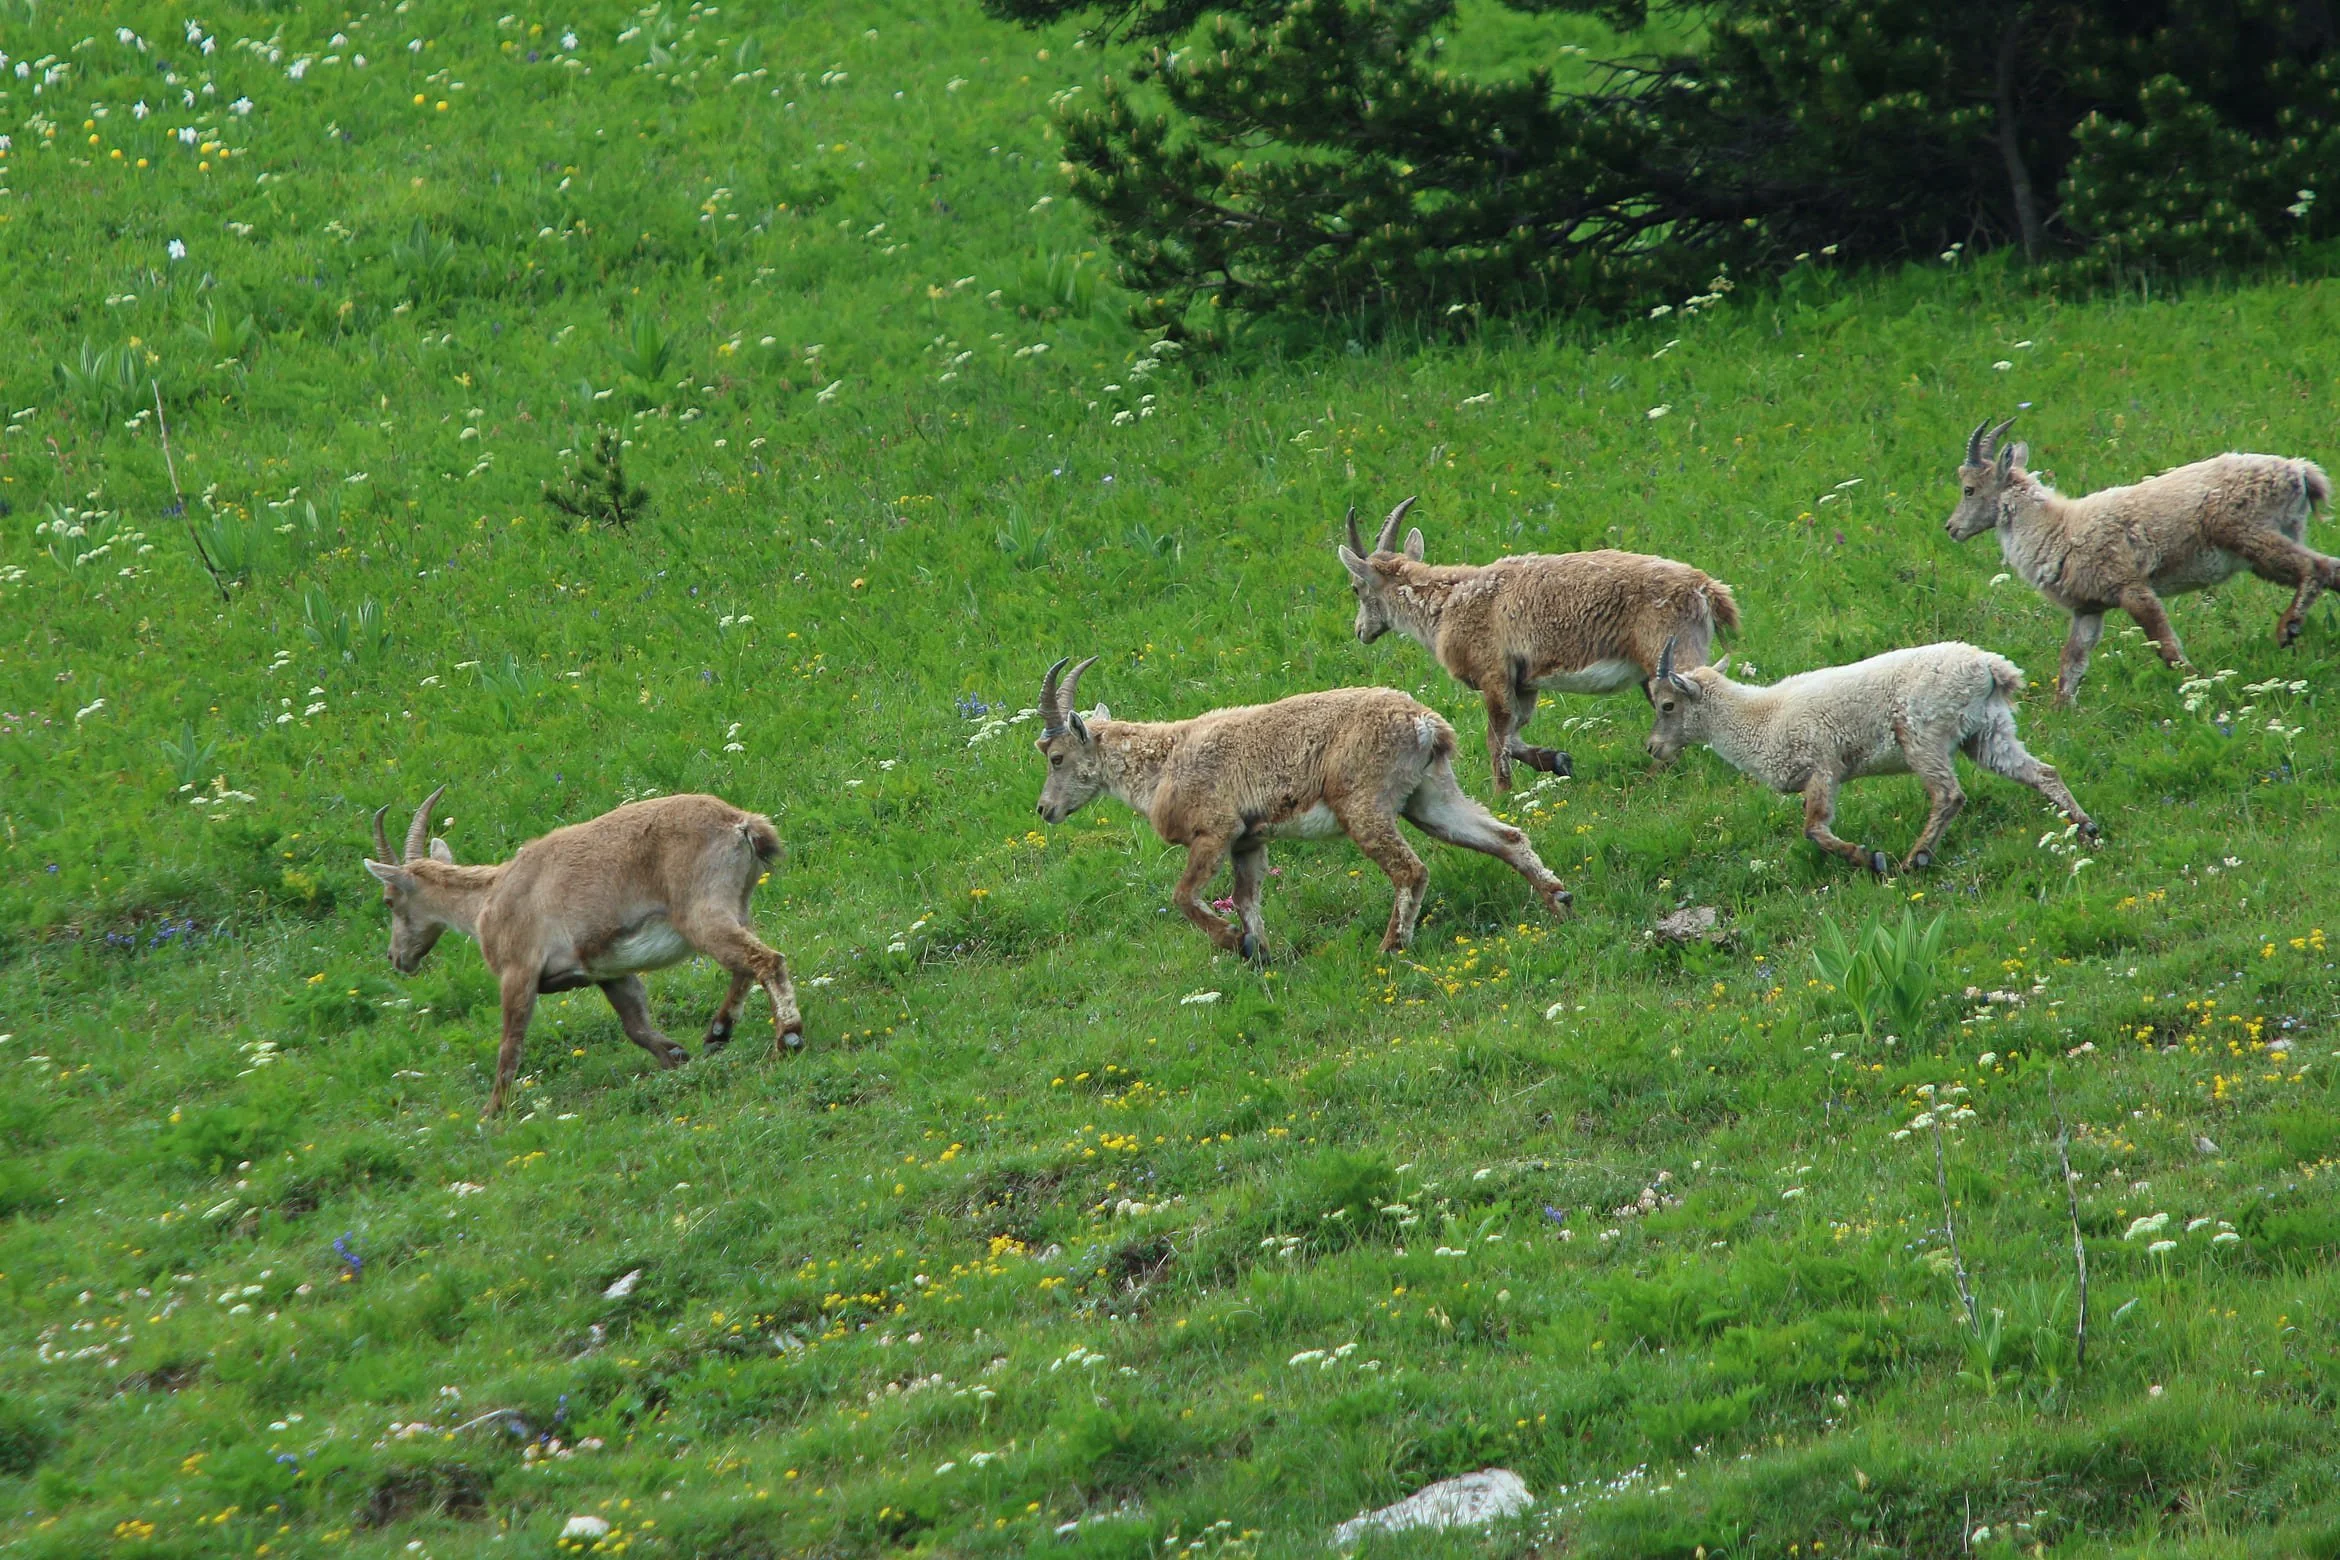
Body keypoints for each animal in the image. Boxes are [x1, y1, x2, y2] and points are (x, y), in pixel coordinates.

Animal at [362, 788, 801, 1116]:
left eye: (389, 901)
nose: (397, 958)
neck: (488, 897)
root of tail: (741, 823)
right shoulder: (607, 971)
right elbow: (635, 1023)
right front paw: (675, 1056)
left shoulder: (519, 970)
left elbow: (510, 1044)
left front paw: (492, 1111)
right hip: (736, 907)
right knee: (745, 966)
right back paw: (718, 1031)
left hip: (701, 913)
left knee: (767, 961)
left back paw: (788, 1039)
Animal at [1030, 655, 1572, 957]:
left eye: (1055, 756)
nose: (1044, 809)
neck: (1162, 762)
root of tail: (1425, 724)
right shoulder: (1248, 842)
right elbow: (1247, 899)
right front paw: (1259, 954)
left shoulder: (1216, 830)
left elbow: (1183, 895)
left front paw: (1232, 941)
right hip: (1429, 797)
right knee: (1506, 837)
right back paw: (1560, 901)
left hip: (1363, 803)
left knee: (1411, 870)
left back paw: (1391, 947)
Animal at [1337, 497, 1739, 789]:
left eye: (1355, 588)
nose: (1360, 631)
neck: (1447, 604)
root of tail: (1706, 589)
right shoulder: (1525, 682)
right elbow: (1515, 732)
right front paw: (1558, 760)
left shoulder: (1494, 672)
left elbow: (1496, 737)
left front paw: (1502, 794)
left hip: (1667, 651)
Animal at [1642, 637, 2096, 875]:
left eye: (1667, 705)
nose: (1652, 748)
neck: (1761, 716)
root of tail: (1990, 668)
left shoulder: (1823, 766)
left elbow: (1813, 828)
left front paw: (1868, 857)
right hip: (1987, 732)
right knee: (2043, 772)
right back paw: (2086, 827)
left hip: (1923, 734)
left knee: (1949, 795)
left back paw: (1914, 859)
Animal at [1946, 416, 2336, 703]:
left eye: (1969, 489)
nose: (1951, 528)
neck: (2058, 529)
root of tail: (2300, 472)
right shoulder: (2088, 608)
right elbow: (2071, 662)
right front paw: (2062, 712)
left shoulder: (2131, 587)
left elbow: (2166, 646)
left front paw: (2196, 686)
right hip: (2276, 539)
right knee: (2331, 569)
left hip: (2250, 535)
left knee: (2316, 566)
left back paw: (2287, 628)